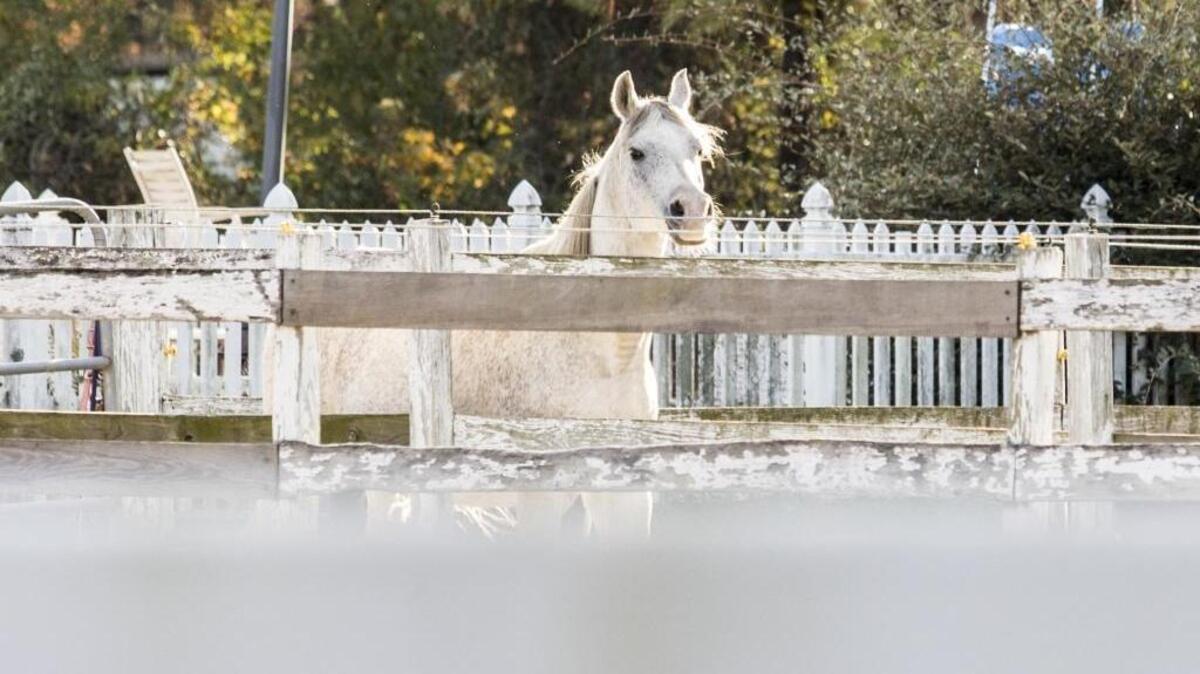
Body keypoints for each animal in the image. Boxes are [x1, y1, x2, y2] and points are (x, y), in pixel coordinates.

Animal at [266, 69, 722, 535]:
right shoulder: (539, 497)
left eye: (698, 149)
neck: (602, 353)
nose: (691, 210)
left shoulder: (623, 497)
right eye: (637, 152)